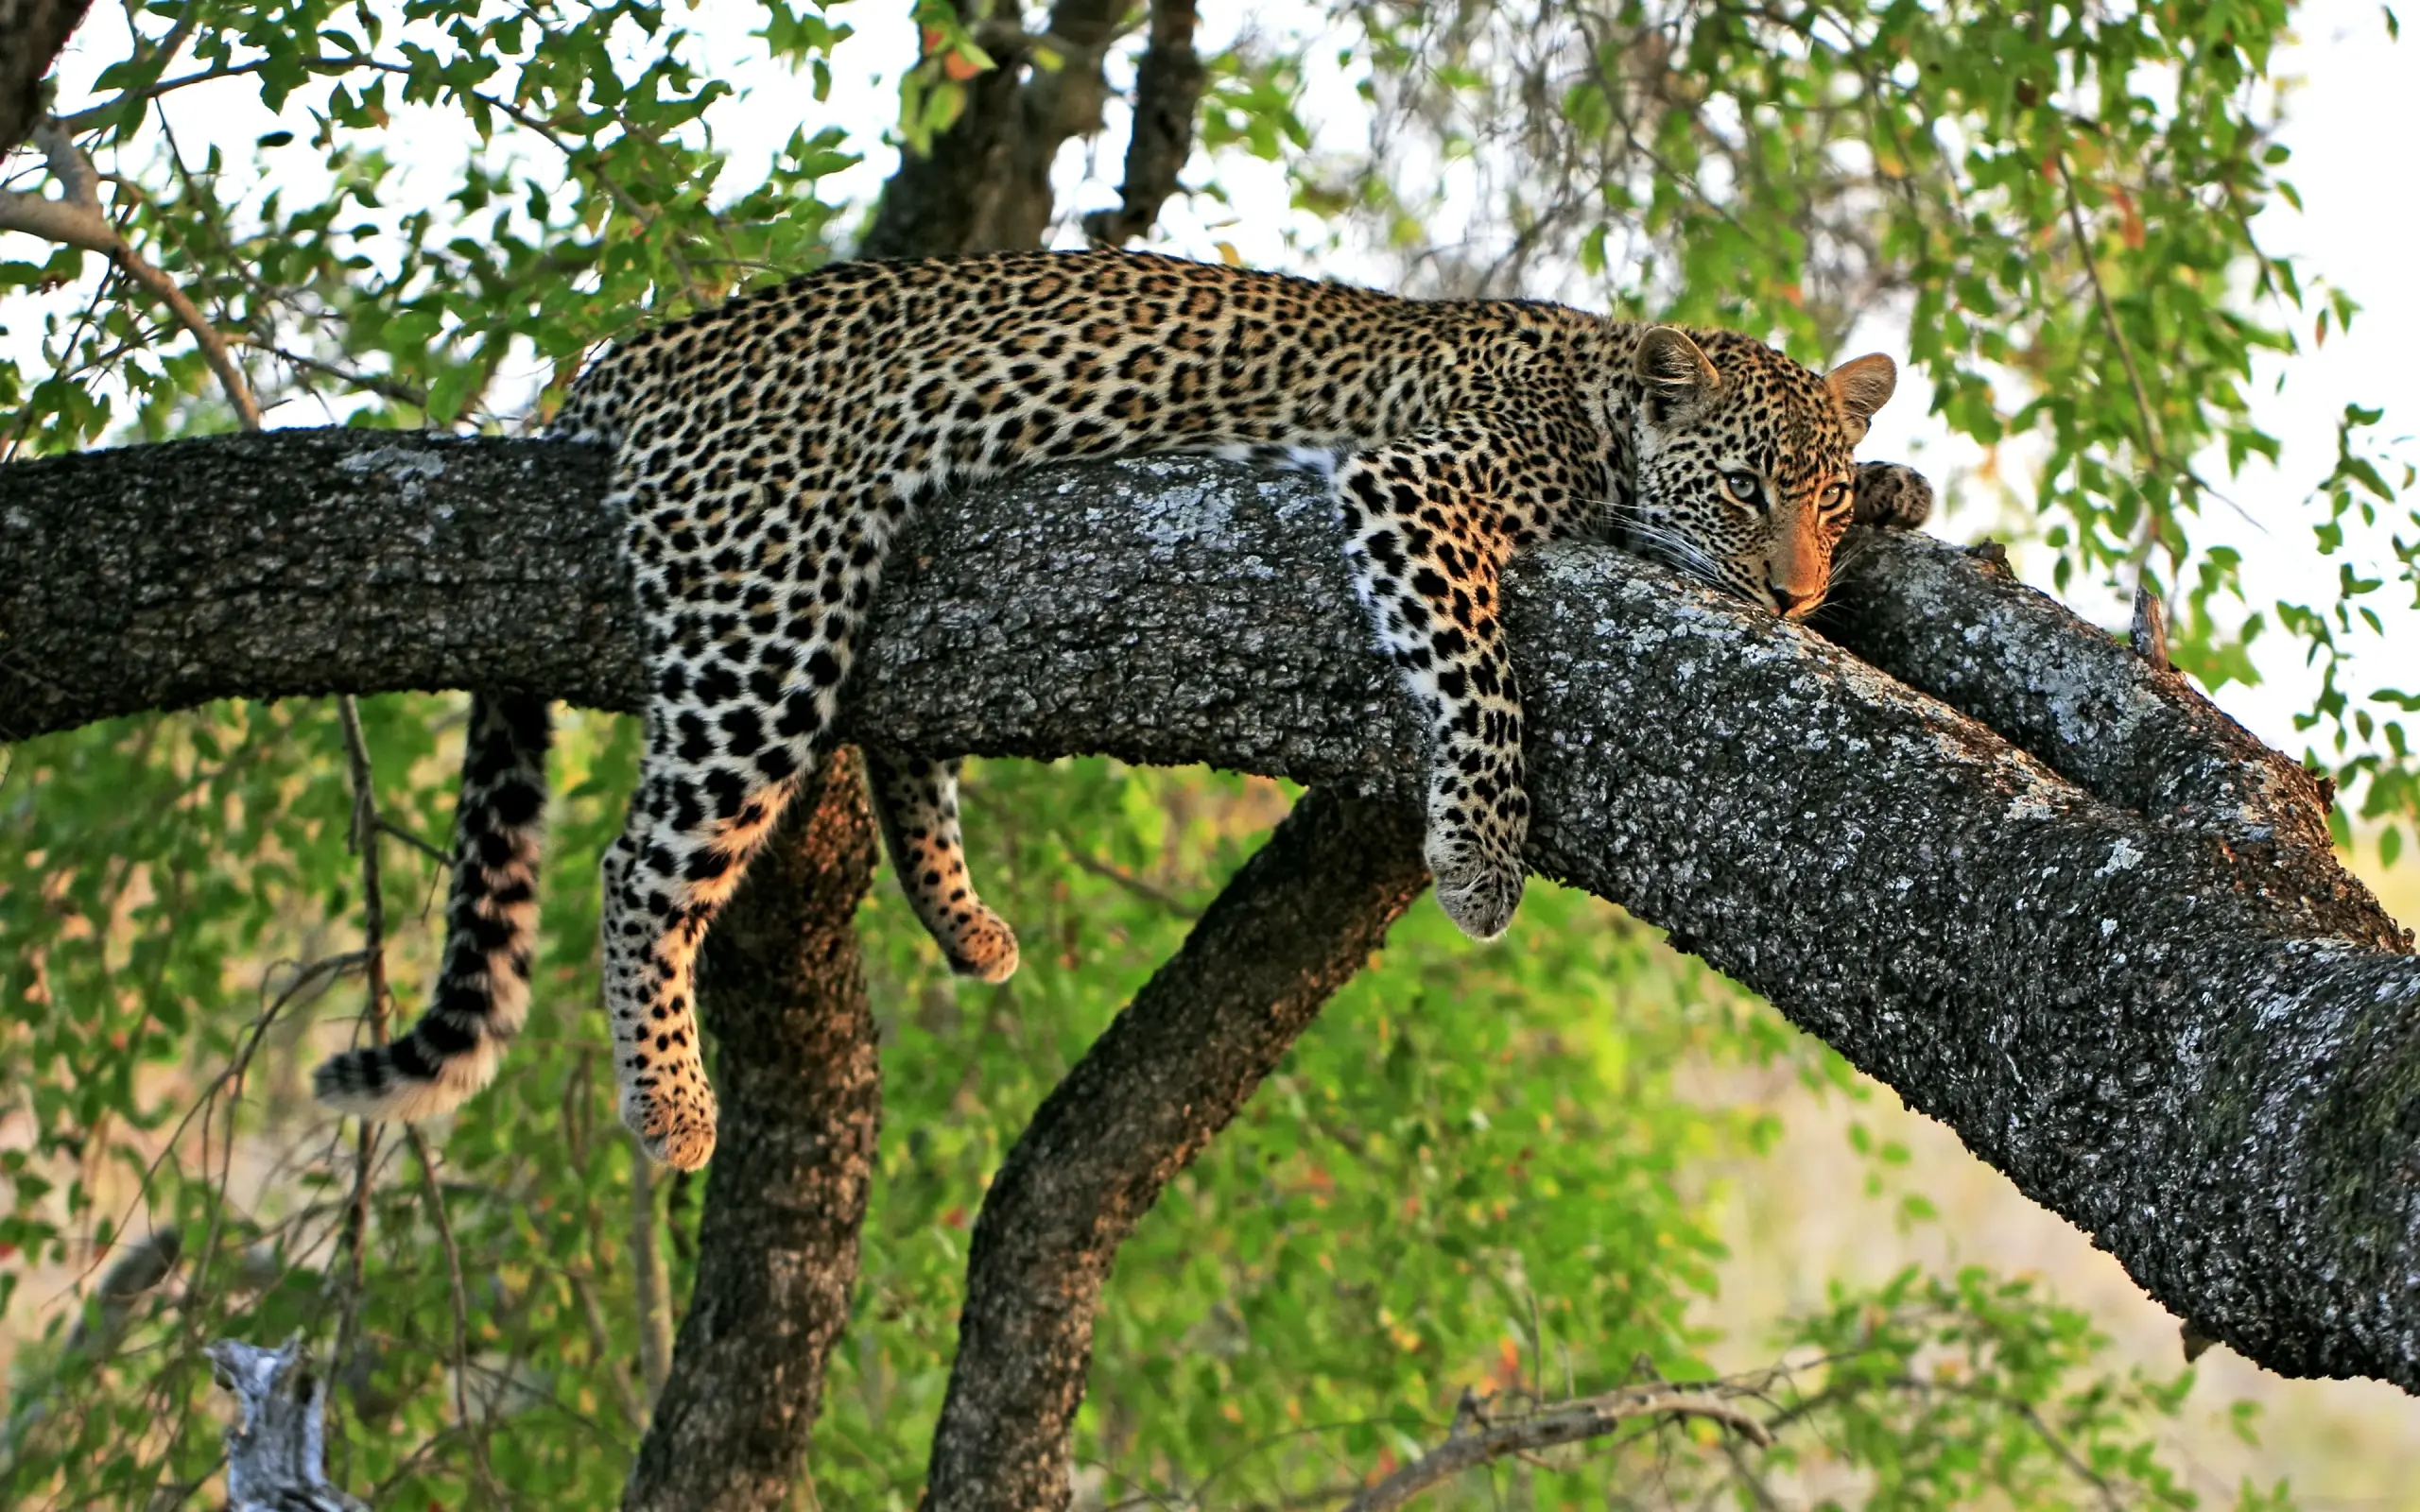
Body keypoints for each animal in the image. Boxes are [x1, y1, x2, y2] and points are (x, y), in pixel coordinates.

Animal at [312, 249, 1931, 1170]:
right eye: (1744, 491)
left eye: (1819, 496)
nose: (1792, 597)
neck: (1597, 388)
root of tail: (641, 349)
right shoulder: (1412, 490)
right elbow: (1479, 678)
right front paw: (1480, 857)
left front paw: (1906, 490)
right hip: (766, 600)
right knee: (642, 862)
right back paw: (670, 1105)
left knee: (895, 740)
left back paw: (965, 922)